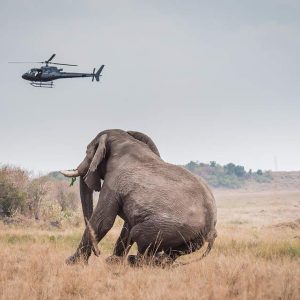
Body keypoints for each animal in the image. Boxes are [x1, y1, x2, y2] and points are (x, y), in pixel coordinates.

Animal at [60, 129, 216, 264]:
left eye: (87, 152)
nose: (98, 253)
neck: (124, 140)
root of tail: (211, 230)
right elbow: (126, 224)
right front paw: (113, 262)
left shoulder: (114, 181)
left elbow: (104, 221)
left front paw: (72, 263)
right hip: (192, 238)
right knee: (173, 253)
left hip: (171, 228)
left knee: (138, 233)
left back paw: (136, 261)